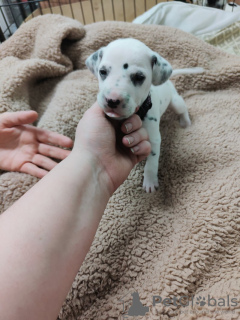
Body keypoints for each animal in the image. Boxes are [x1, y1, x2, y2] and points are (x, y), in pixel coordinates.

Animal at [86, 37, 202, 192]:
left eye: (139, 77)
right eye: (103, 71)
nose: (112, 100)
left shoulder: (154, 139)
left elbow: (152, 162)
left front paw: (150, 180)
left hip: (176, 102)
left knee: (182, 109)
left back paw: (185, 122)